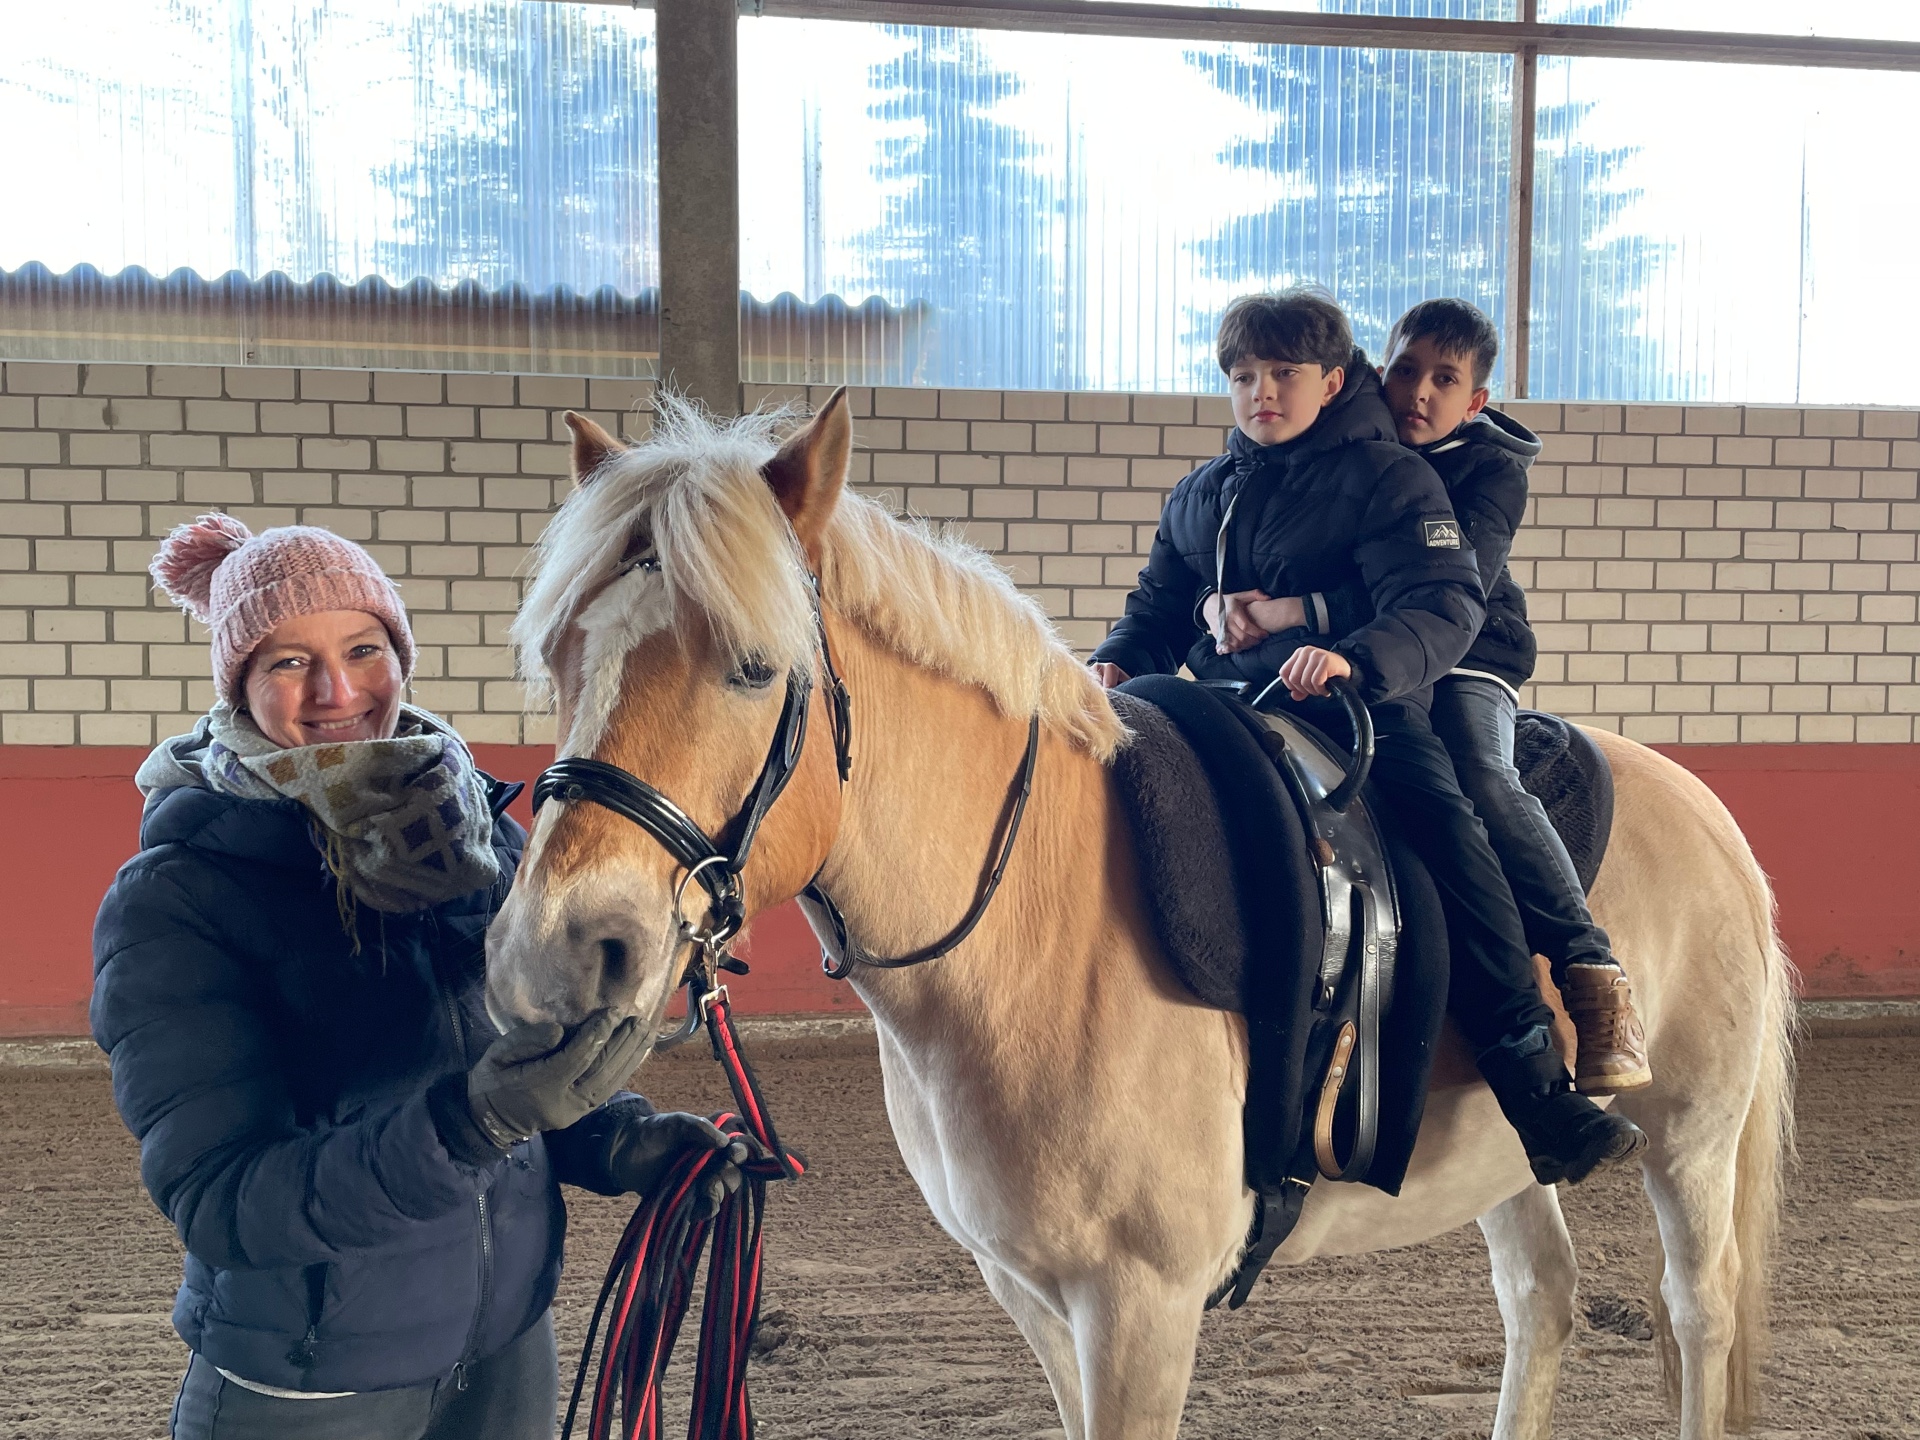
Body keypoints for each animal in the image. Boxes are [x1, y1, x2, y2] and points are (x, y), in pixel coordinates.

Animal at [485, 390, 1796, 1440]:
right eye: (559, 658)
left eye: (755, 668)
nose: (556, 952)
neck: (1040, 931)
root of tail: (1710, 812)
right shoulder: (1031, 1294)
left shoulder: (1143, 1307)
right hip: (1507, 1161)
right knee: (1543, 1300)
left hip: (1691, 1142)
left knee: (1700, 1316)